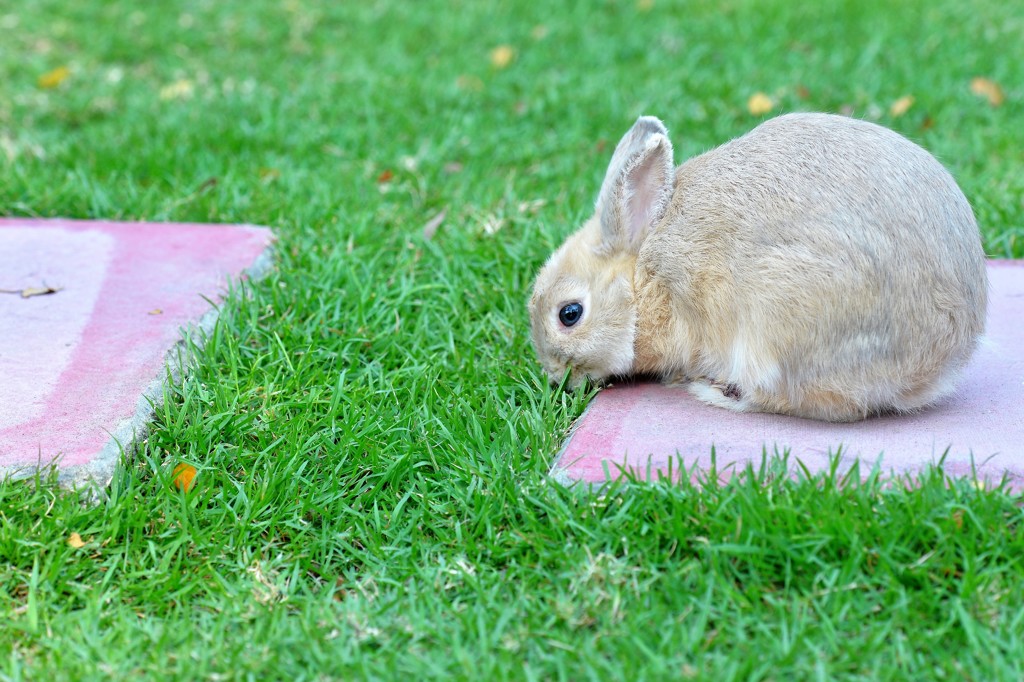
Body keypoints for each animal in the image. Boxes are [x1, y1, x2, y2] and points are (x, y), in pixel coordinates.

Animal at [528, 111, 983, 419]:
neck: (641, 281)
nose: (555, 377)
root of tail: (937, 361)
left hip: (778, 325)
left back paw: (712, 392)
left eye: (569, 314)